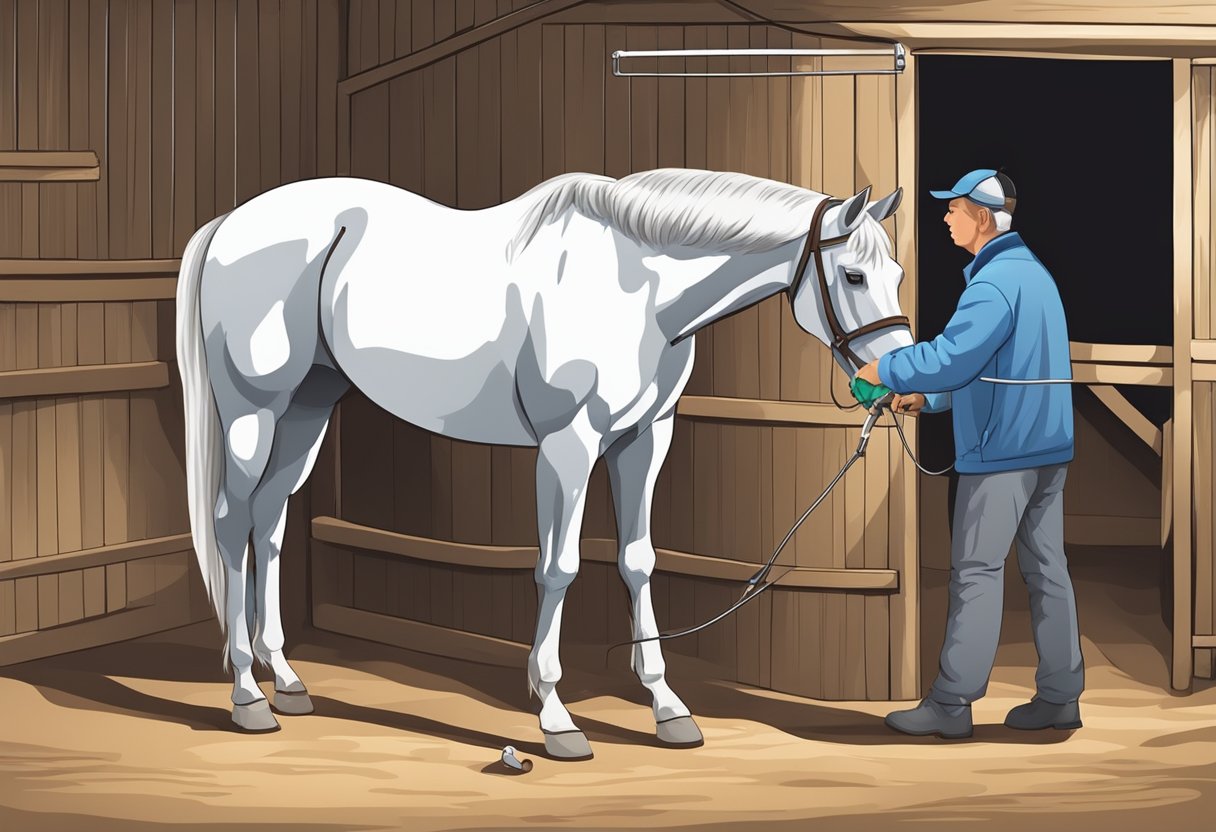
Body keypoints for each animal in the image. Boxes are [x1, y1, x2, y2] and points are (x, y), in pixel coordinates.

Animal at [173, 169, 914, 759]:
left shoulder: (647, 437)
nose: (895, 385)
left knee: (269, 520)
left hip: (308, 406)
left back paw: (287, 680)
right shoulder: (569, 443)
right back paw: (247, 696)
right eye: (853, 274)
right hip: (253, 410)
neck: (637, 291)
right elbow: (559, 567)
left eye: (899, 274)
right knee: (231, 522)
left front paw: (669, 710)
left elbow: (638, 560)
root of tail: (230, 221)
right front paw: (557, 717)